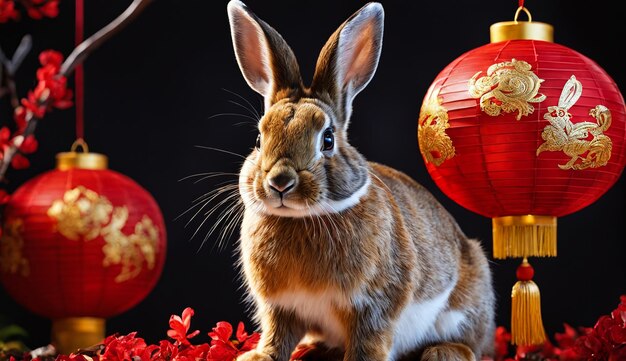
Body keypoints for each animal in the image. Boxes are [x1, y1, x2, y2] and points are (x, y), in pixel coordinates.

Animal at [224, 1, 492, 358]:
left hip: (466, 306)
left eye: (327, 139)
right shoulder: (281, 307)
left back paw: (443, 352)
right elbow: (277, 335)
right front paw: (258, 356)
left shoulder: (375, 303)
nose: (280, 182)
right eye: (258, 139)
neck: (302, 217)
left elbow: (369, 339)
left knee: (472, 342)